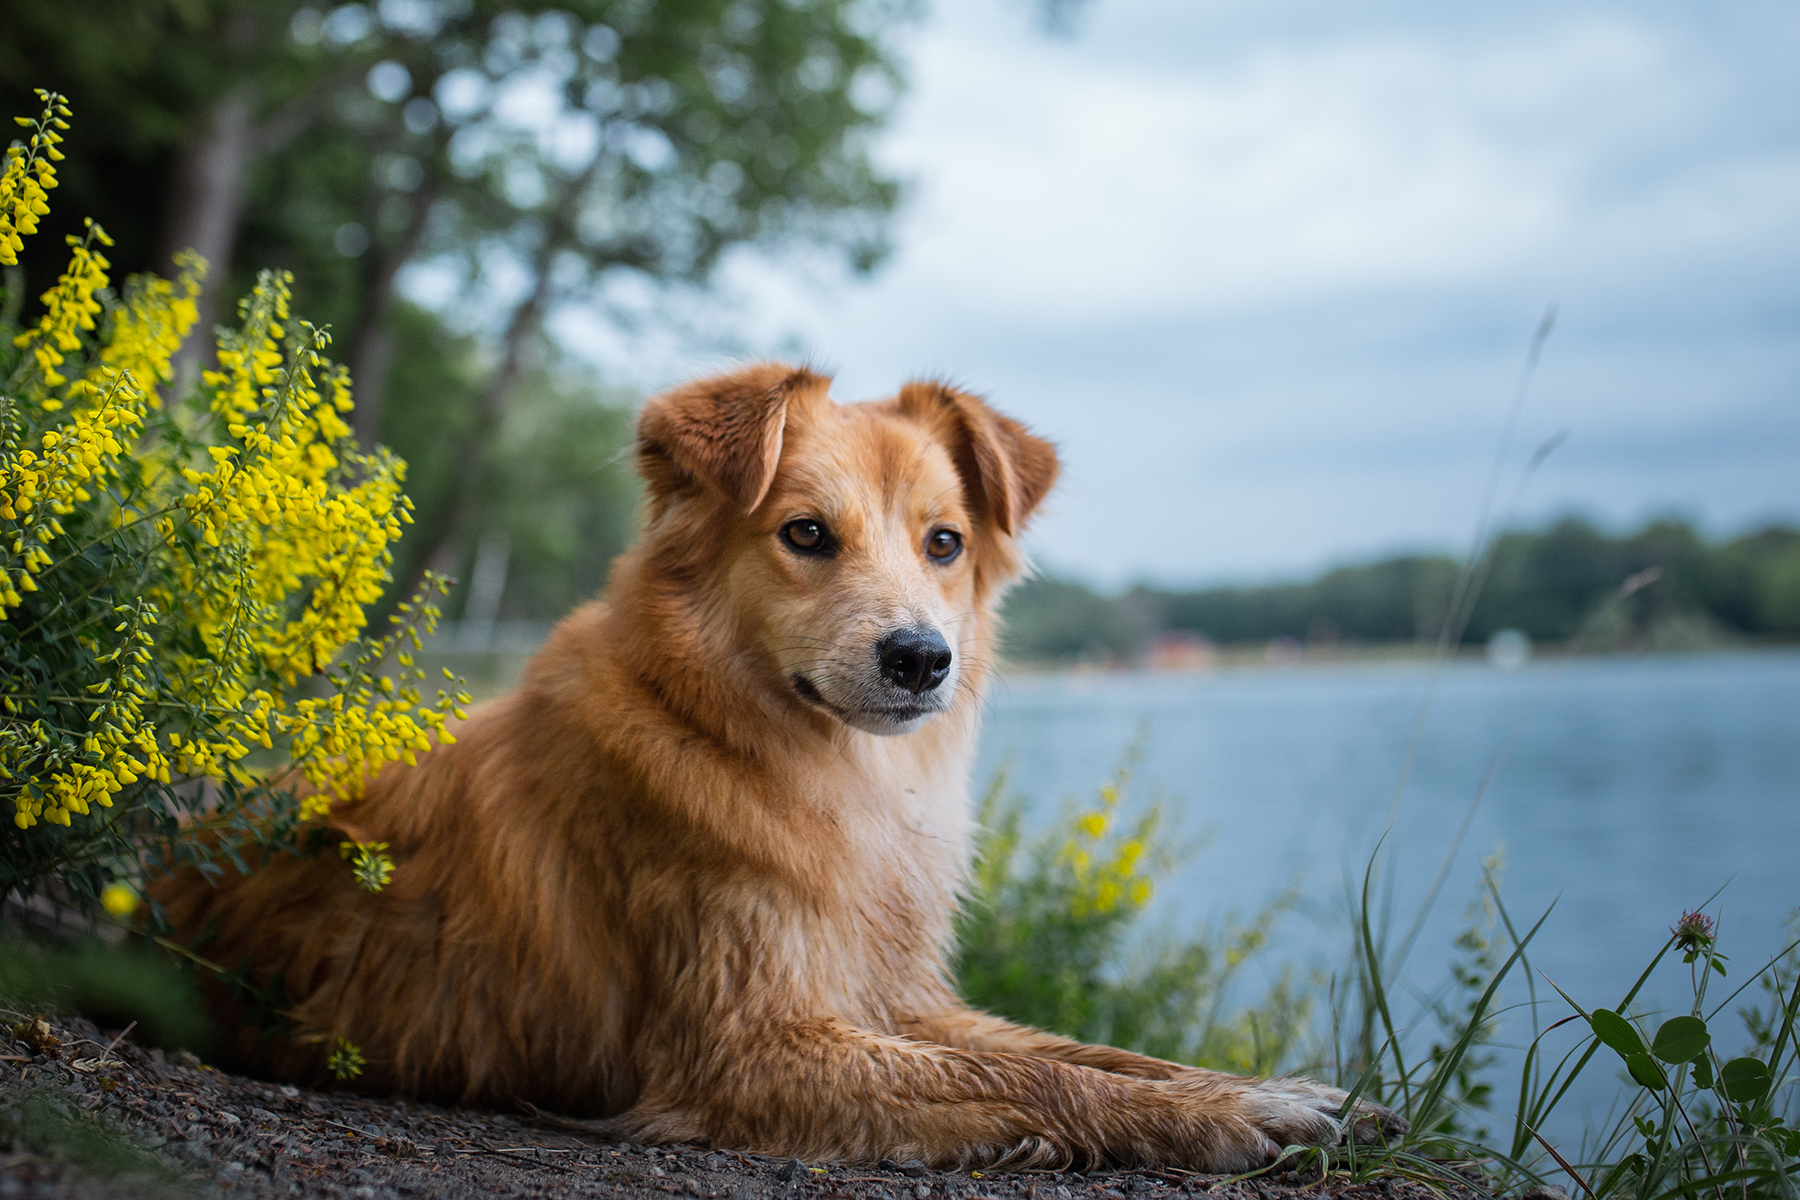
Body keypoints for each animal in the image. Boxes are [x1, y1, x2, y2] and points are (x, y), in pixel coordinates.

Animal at [154, 367, 1389, 1173]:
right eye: (804, 534)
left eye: (945, 543)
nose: (921, 658)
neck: (803, 765)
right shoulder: (745, 1048)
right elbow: (1040, 1075)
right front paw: (1230, 1122)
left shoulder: (892, 995)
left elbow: (1083, 1052)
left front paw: (1271, 1090)